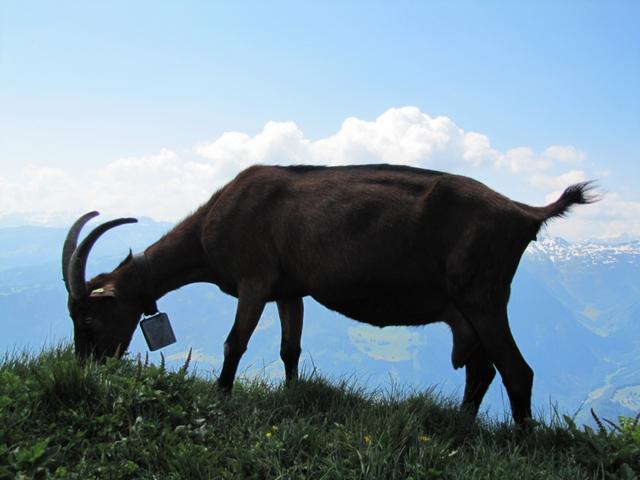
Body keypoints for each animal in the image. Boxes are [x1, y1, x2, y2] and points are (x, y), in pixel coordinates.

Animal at [61, 164, 596, 424]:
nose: (85, 367)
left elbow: (235, 343)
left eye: (87, 318)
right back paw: (463, 428)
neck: (214, 221)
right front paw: (291, 396)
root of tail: (525, 212)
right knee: (482, 369)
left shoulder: (255, 280)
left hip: (483, 296)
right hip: (465, 309)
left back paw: (521, 443)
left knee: (517, 371)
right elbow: (289, 348)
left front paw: (222, 395)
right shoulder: (288, 289)